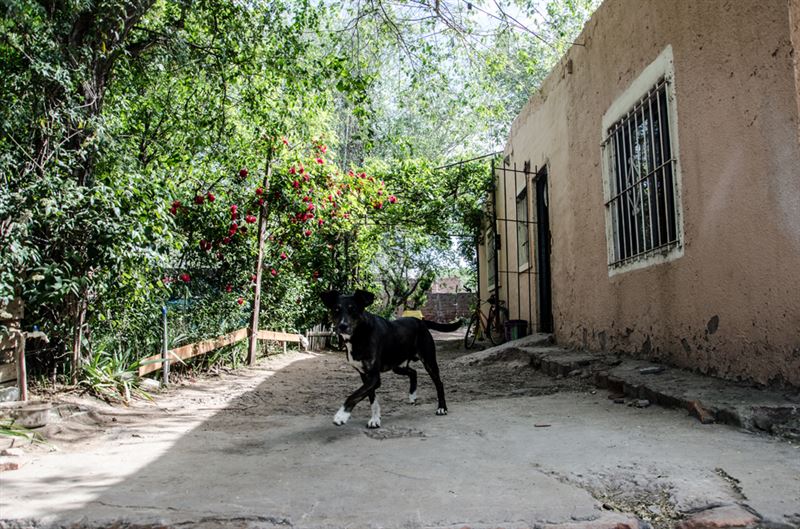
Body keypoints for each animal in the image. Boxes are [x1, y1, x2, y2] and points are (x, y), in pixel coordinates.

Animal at [320, 288, 462, 428]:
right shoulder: (365, 375)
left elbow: (355, 395)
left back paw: (442, 408)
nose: (342, 326)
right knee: (413, 372)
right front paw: (375, 419)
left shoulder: (374, 377)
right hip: (398, 365)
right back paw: (412, 395)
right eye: (336, 310)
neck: (359, 335)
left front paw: (342, 415)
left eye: (353, 309)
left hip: (429, 361)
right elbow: (371, 398)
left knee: (439, 383)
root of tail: (420, 321)